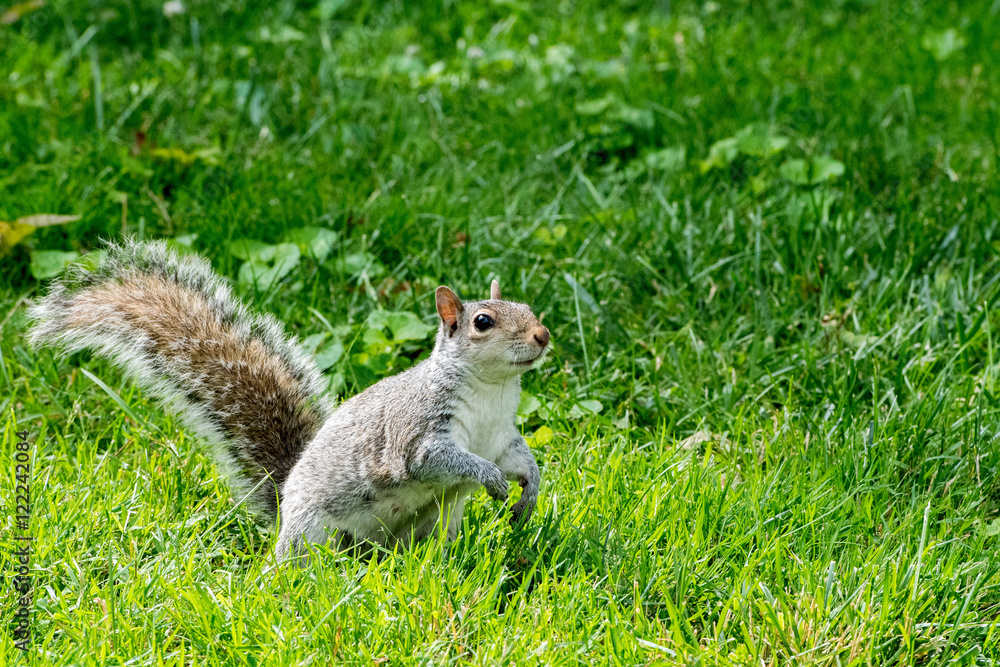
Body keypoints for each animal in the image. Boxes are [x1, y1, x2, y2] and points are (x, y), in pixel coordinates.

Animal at [27, 239, 552, 560]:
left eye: (529, 308)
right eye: (483, 322)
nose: (543, 335)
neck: (490, 391)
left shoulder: (501, 435)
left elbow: (520, 459)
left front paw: (529, 493)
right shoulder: (418, 432)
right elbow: (440, 460)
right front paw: (489, 479)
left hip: (436, 522)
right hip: (312, 529)